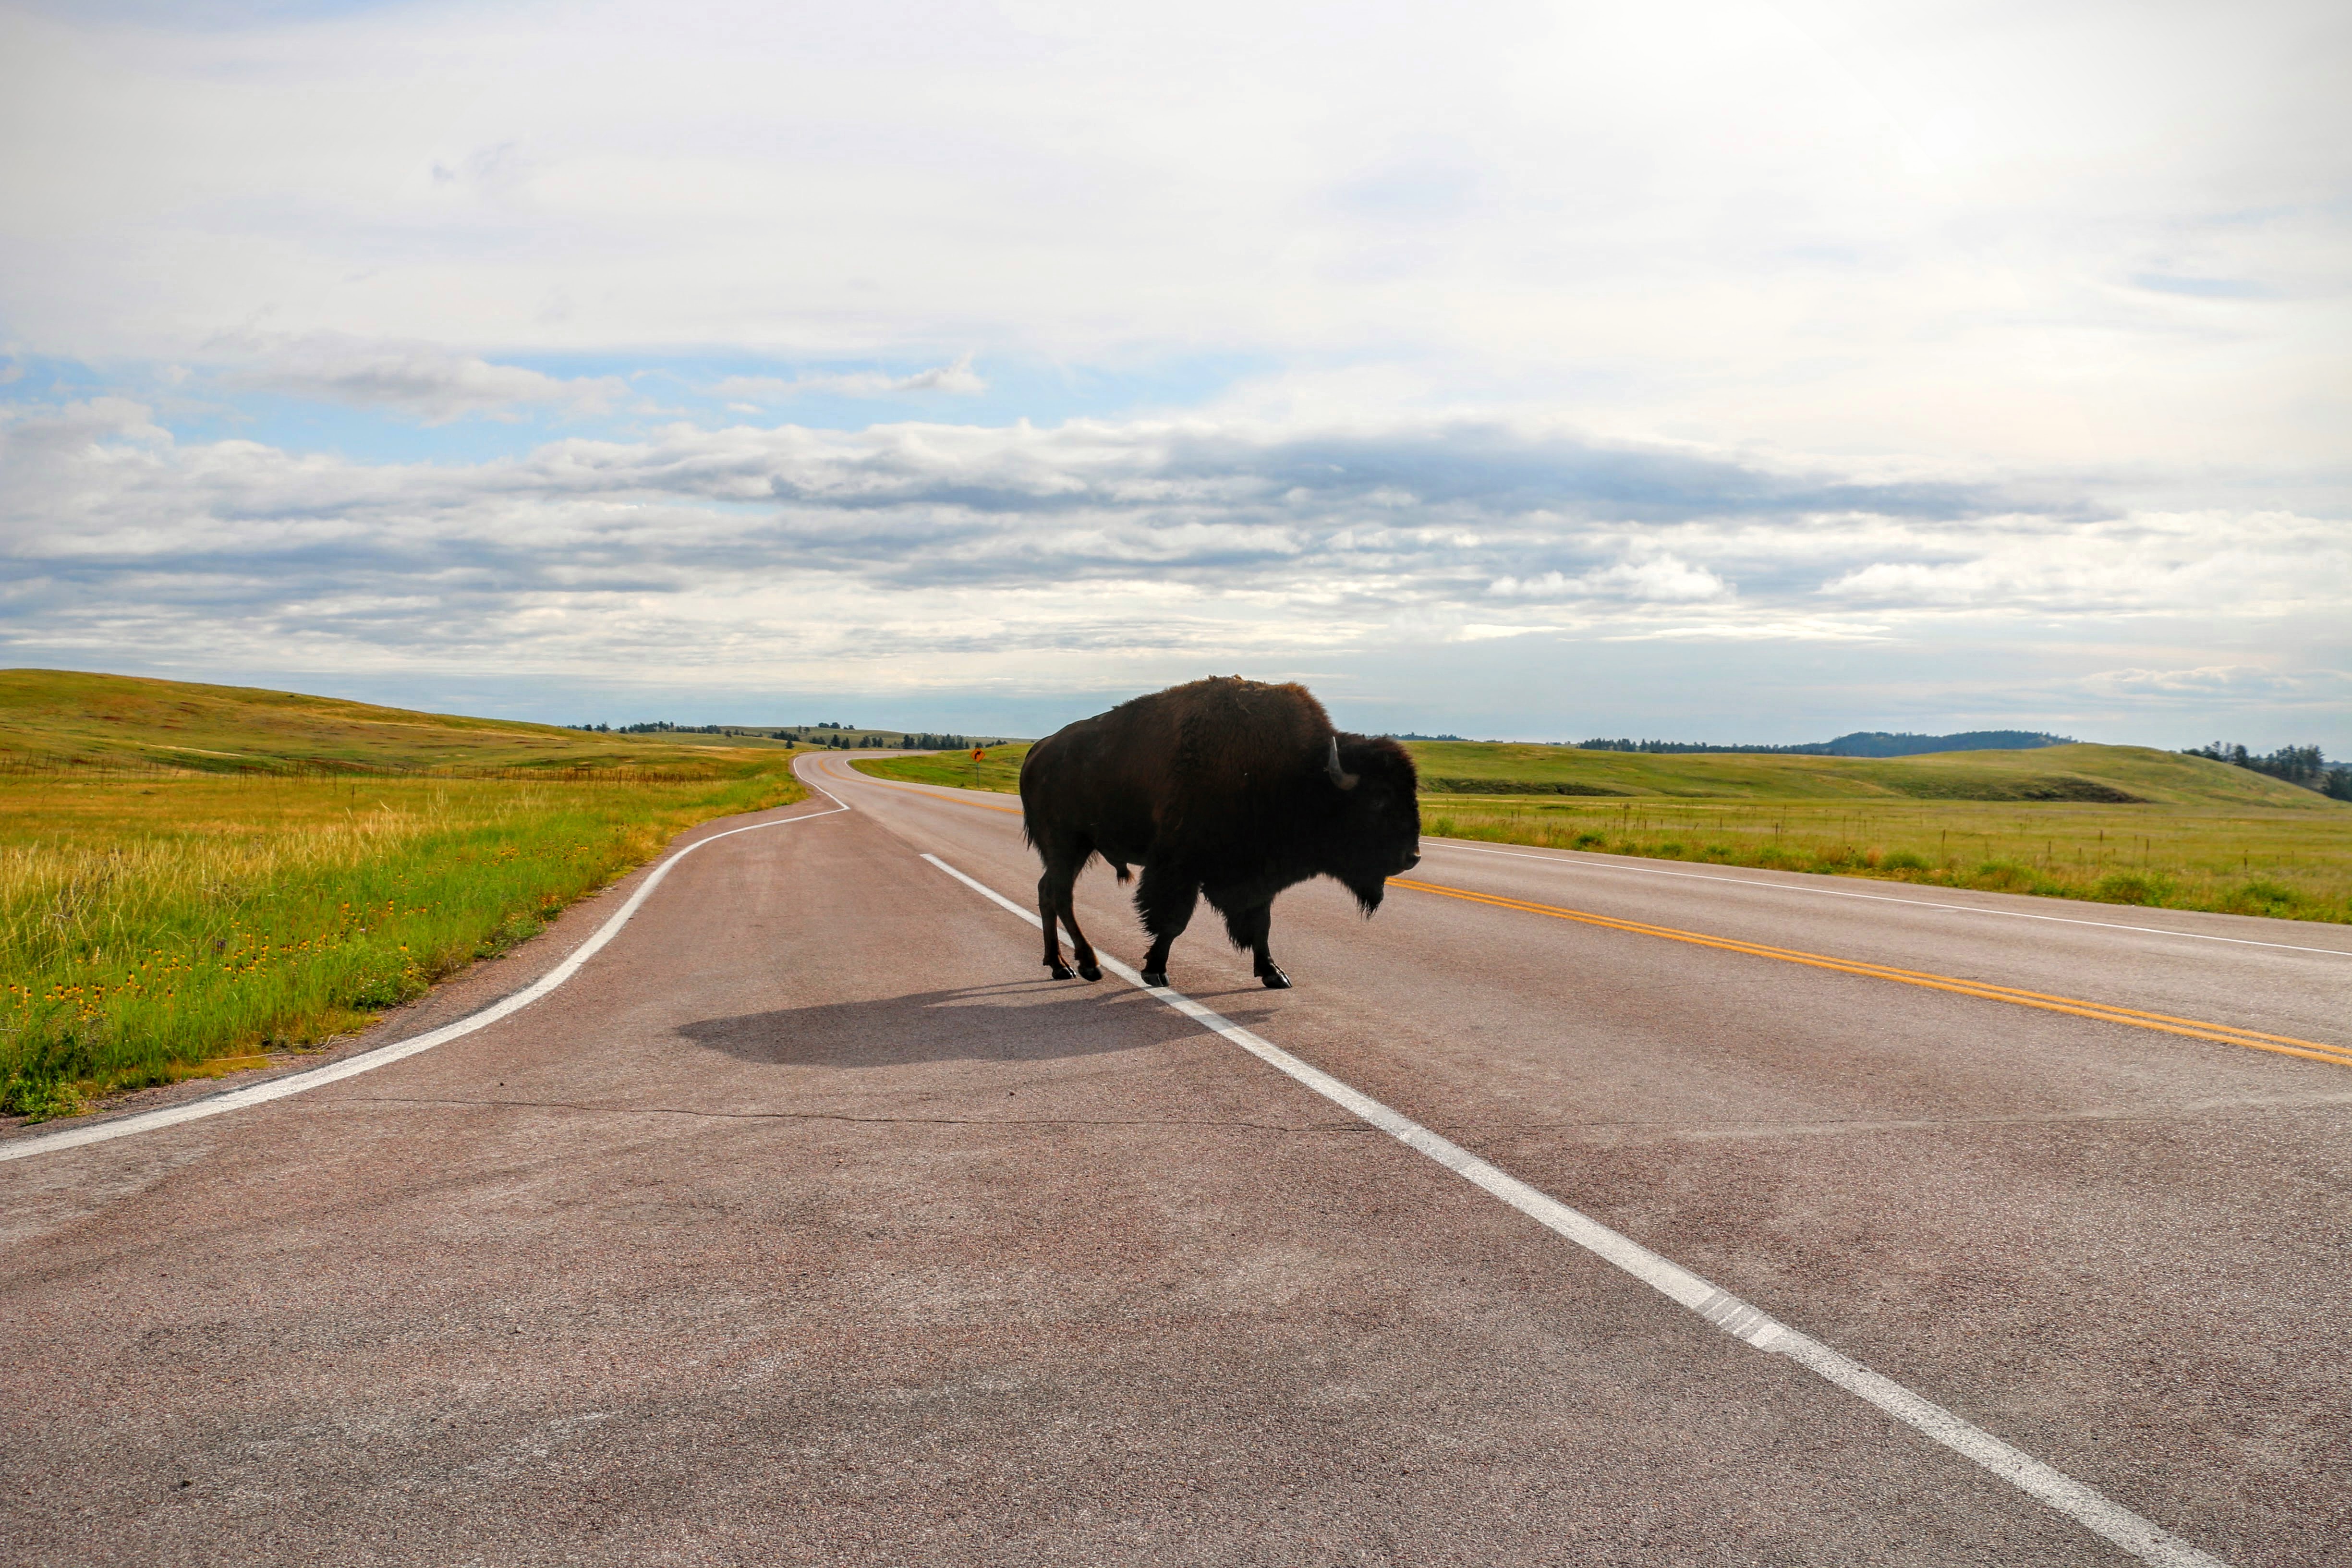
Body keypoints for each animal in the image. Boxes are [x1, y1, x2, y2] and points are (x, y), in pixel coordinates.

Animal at [1020, 677, 1420, 992]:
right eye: (1378, 800)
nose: (1412, 856)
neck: (1302, 772)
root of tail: (1038, 750)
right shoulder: (1179, 867)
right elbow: (1173, 920)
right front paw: (1155, 970)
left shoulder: (1257, 875)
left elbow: (1261, 923)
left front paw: (1274, 973)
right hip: (1067, 845)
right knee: (1059, 894)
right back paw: (1087, 965)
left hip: (1074, 849)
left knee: (1048, 892)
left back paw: (1060, 965)